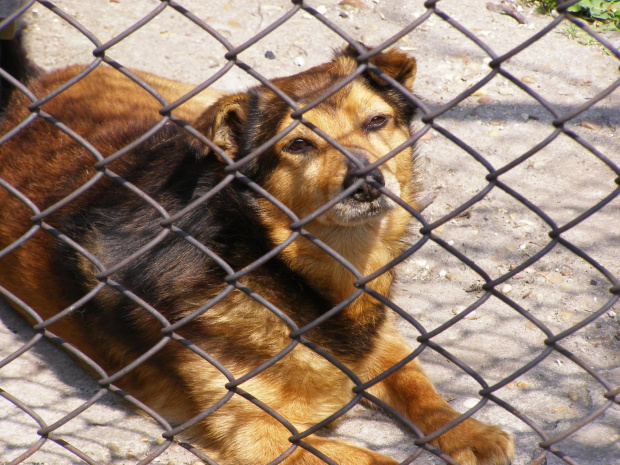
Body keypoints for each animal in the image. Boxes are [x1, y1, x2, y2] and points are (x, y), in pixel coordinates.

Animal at [0, 41, 512, 462]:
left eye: (376, 121)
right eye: (299, 144)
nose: (368, 180)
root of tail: (31, 90)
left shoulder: (382, 337)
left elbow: (419, 387)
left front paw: (469, 431)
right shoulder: (260, 435)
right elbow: (370, 458)